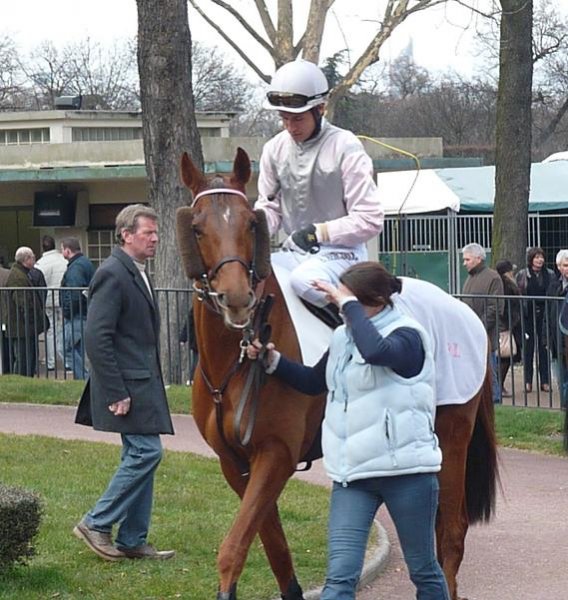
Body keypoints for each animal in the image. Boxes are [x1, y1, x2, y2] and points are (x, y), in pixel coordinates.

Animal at [176, 149, 496, 600]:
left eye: (250, 223)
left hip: (452, 437)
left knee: (450, 534)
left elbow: (233, 549)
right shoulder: (234, 464)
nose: (237, 298)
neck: (235, 364)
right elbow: (275, 549)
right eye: (198, 227)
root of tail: (463, 309)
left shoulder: (276, 454)